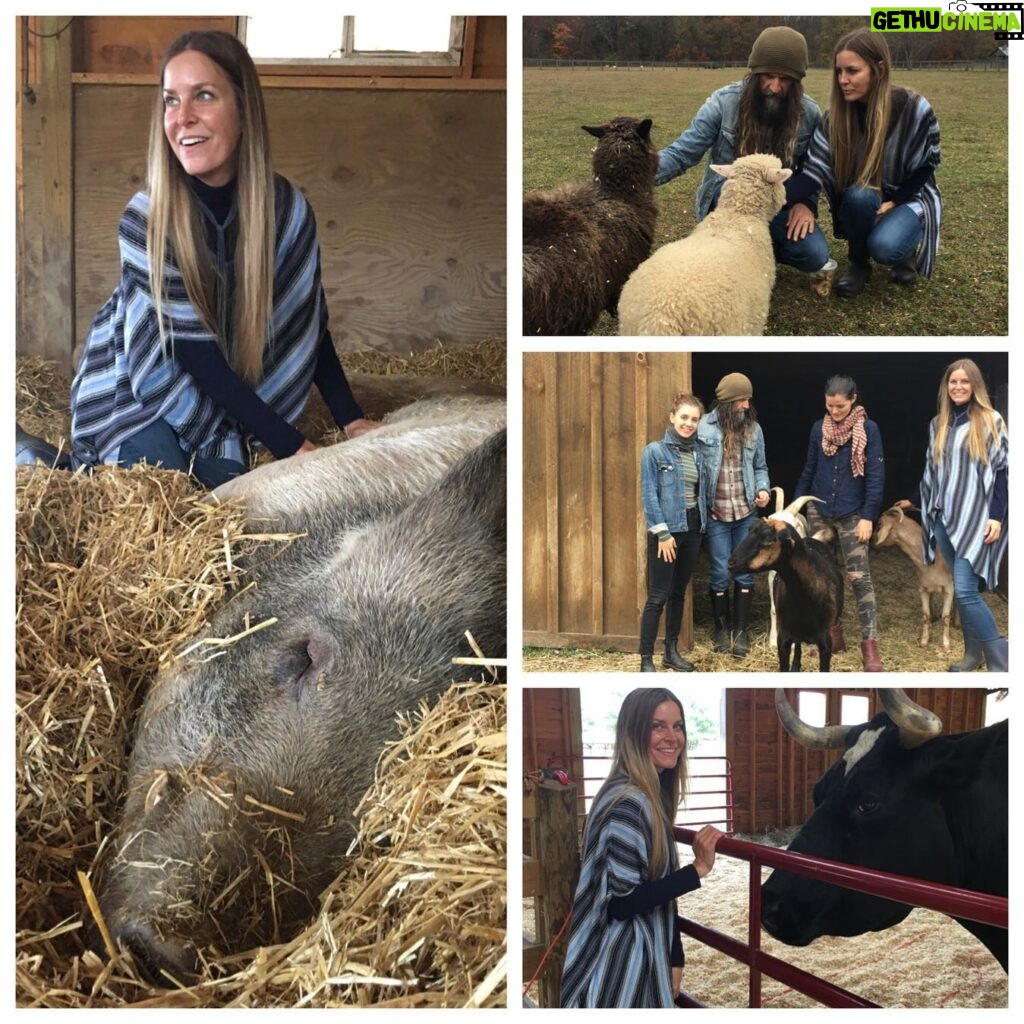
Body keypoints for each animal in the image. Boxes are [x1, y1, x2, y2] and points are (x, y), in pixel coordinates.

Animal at [872, 503, 958, 647]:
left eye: (879, 524)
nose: (871, 540)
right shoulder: (923, 588)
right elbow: (925, 615)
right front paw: (924, 640)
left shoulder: (948, 588)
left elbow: (945, 617)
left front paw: (946, 644)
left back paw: (957, 621)